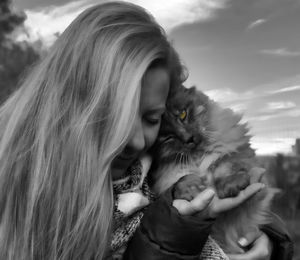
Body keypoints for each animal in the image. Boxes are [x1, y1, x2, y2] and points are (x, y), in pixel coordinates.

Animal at [150, 85, 276, 254]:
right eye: (168, 137)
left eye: (183, 114)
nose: (189, 138)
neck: (198, 156)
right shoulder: (169, 172)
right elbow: (183, 178)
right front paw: (192, 188)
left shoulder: (235, 153)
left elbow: (225, 166)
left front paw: (230, 184)